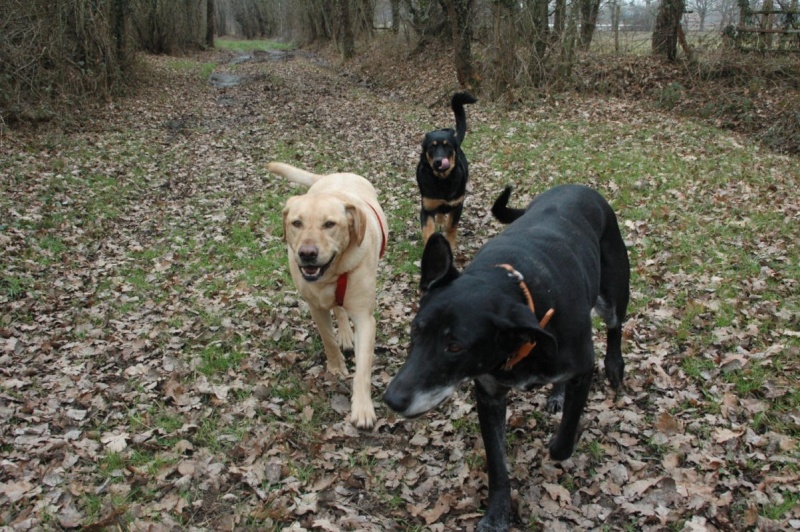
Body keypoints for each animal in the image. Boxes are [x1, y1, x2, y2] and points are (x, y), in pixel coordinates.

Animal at [384, 185, 628, 528]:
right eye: (415, 330)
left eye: (455, 347)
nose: (391, 400)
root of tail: (577, 187)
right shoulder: (489, 396)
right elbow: (497, 465)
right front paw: (498, 514)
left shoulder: (583, 369)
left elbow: (563, 442)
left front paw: (564, 440)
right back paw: (557, 393)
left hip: (612, 292)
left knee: (616, 324)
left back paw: (614, 366)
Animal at [418, 91, 476, 249]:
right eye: (432, 147)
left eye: (447, 146)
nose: (439, 161)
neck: (442, 179)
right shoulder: (427, 208)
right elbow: (428, 230)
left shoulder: (457, 205)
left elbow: (451, 226)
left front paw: (450, 243)